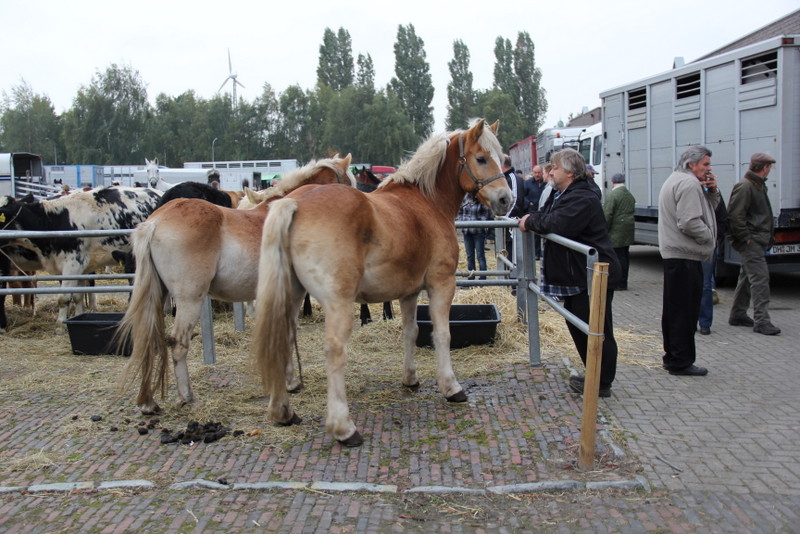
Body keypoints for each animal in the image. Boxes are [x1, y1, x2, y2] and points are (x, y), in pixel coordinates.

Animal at [0, 187, 162, 330]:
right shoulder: (80, 268)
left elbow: (64, 298)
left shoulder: (72, 264)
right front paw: (77, 316)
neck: (54, 220)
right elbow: (78, 295)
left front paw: (60, 325)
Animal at [119, 154, 356, 414]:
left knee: (147, 339)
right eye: (349, 182)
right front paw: (291, 382)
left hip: (157, 295)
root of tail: (155, 222)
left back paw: (148, 402)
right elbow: (288, 332)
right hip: (189, 299)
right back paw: (187, 397)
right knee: (178, 343)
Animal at [252, 120, 512, 448]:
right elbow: (442, 334)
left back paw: (283, 411)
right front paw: (451, 387)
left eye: (502, 158)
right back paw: (344, 428)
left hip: (293, 295)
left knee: (282, 339)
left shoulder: (409, 292)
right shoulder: (441, 283)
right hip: (338, 302)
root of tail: (295, 202)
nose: (506, 199)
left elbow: (411, 332)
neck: (426, 201)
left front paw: (410, 379)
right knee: (334, 351)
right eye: (481, 158)